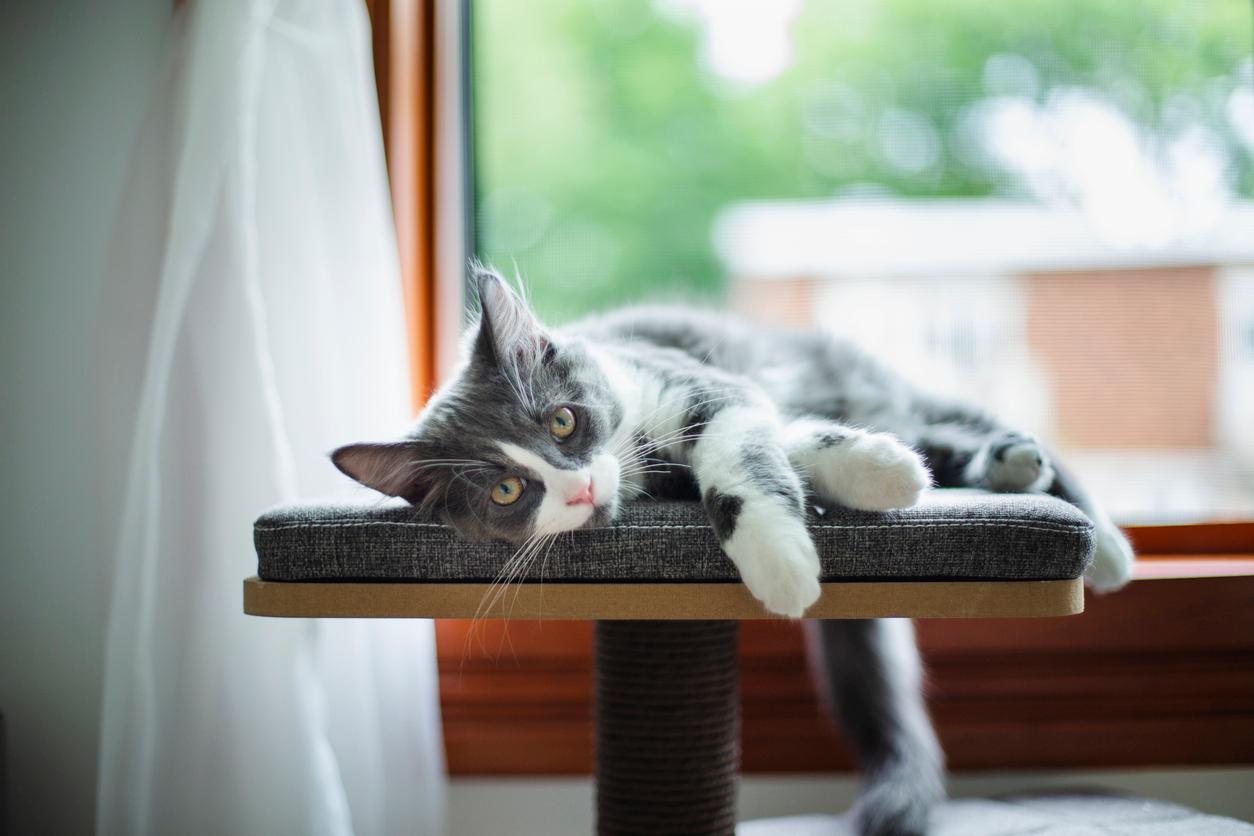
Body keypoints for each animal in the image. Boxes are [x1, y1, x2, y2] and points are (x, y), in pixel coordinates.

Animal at [333, 269, 1138, 836]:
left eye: (562, 421)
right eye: (507, 491)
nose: (581, 487)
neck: (646, 467)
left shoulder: (696, 381)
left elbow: (745, 445)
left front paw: (823, 520)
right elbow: (781, 443)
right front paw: (849, 493)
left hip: (871, 383)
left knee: (965, 419)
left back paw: (1095, 540)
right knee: (949, 437)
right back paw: (997, 466)